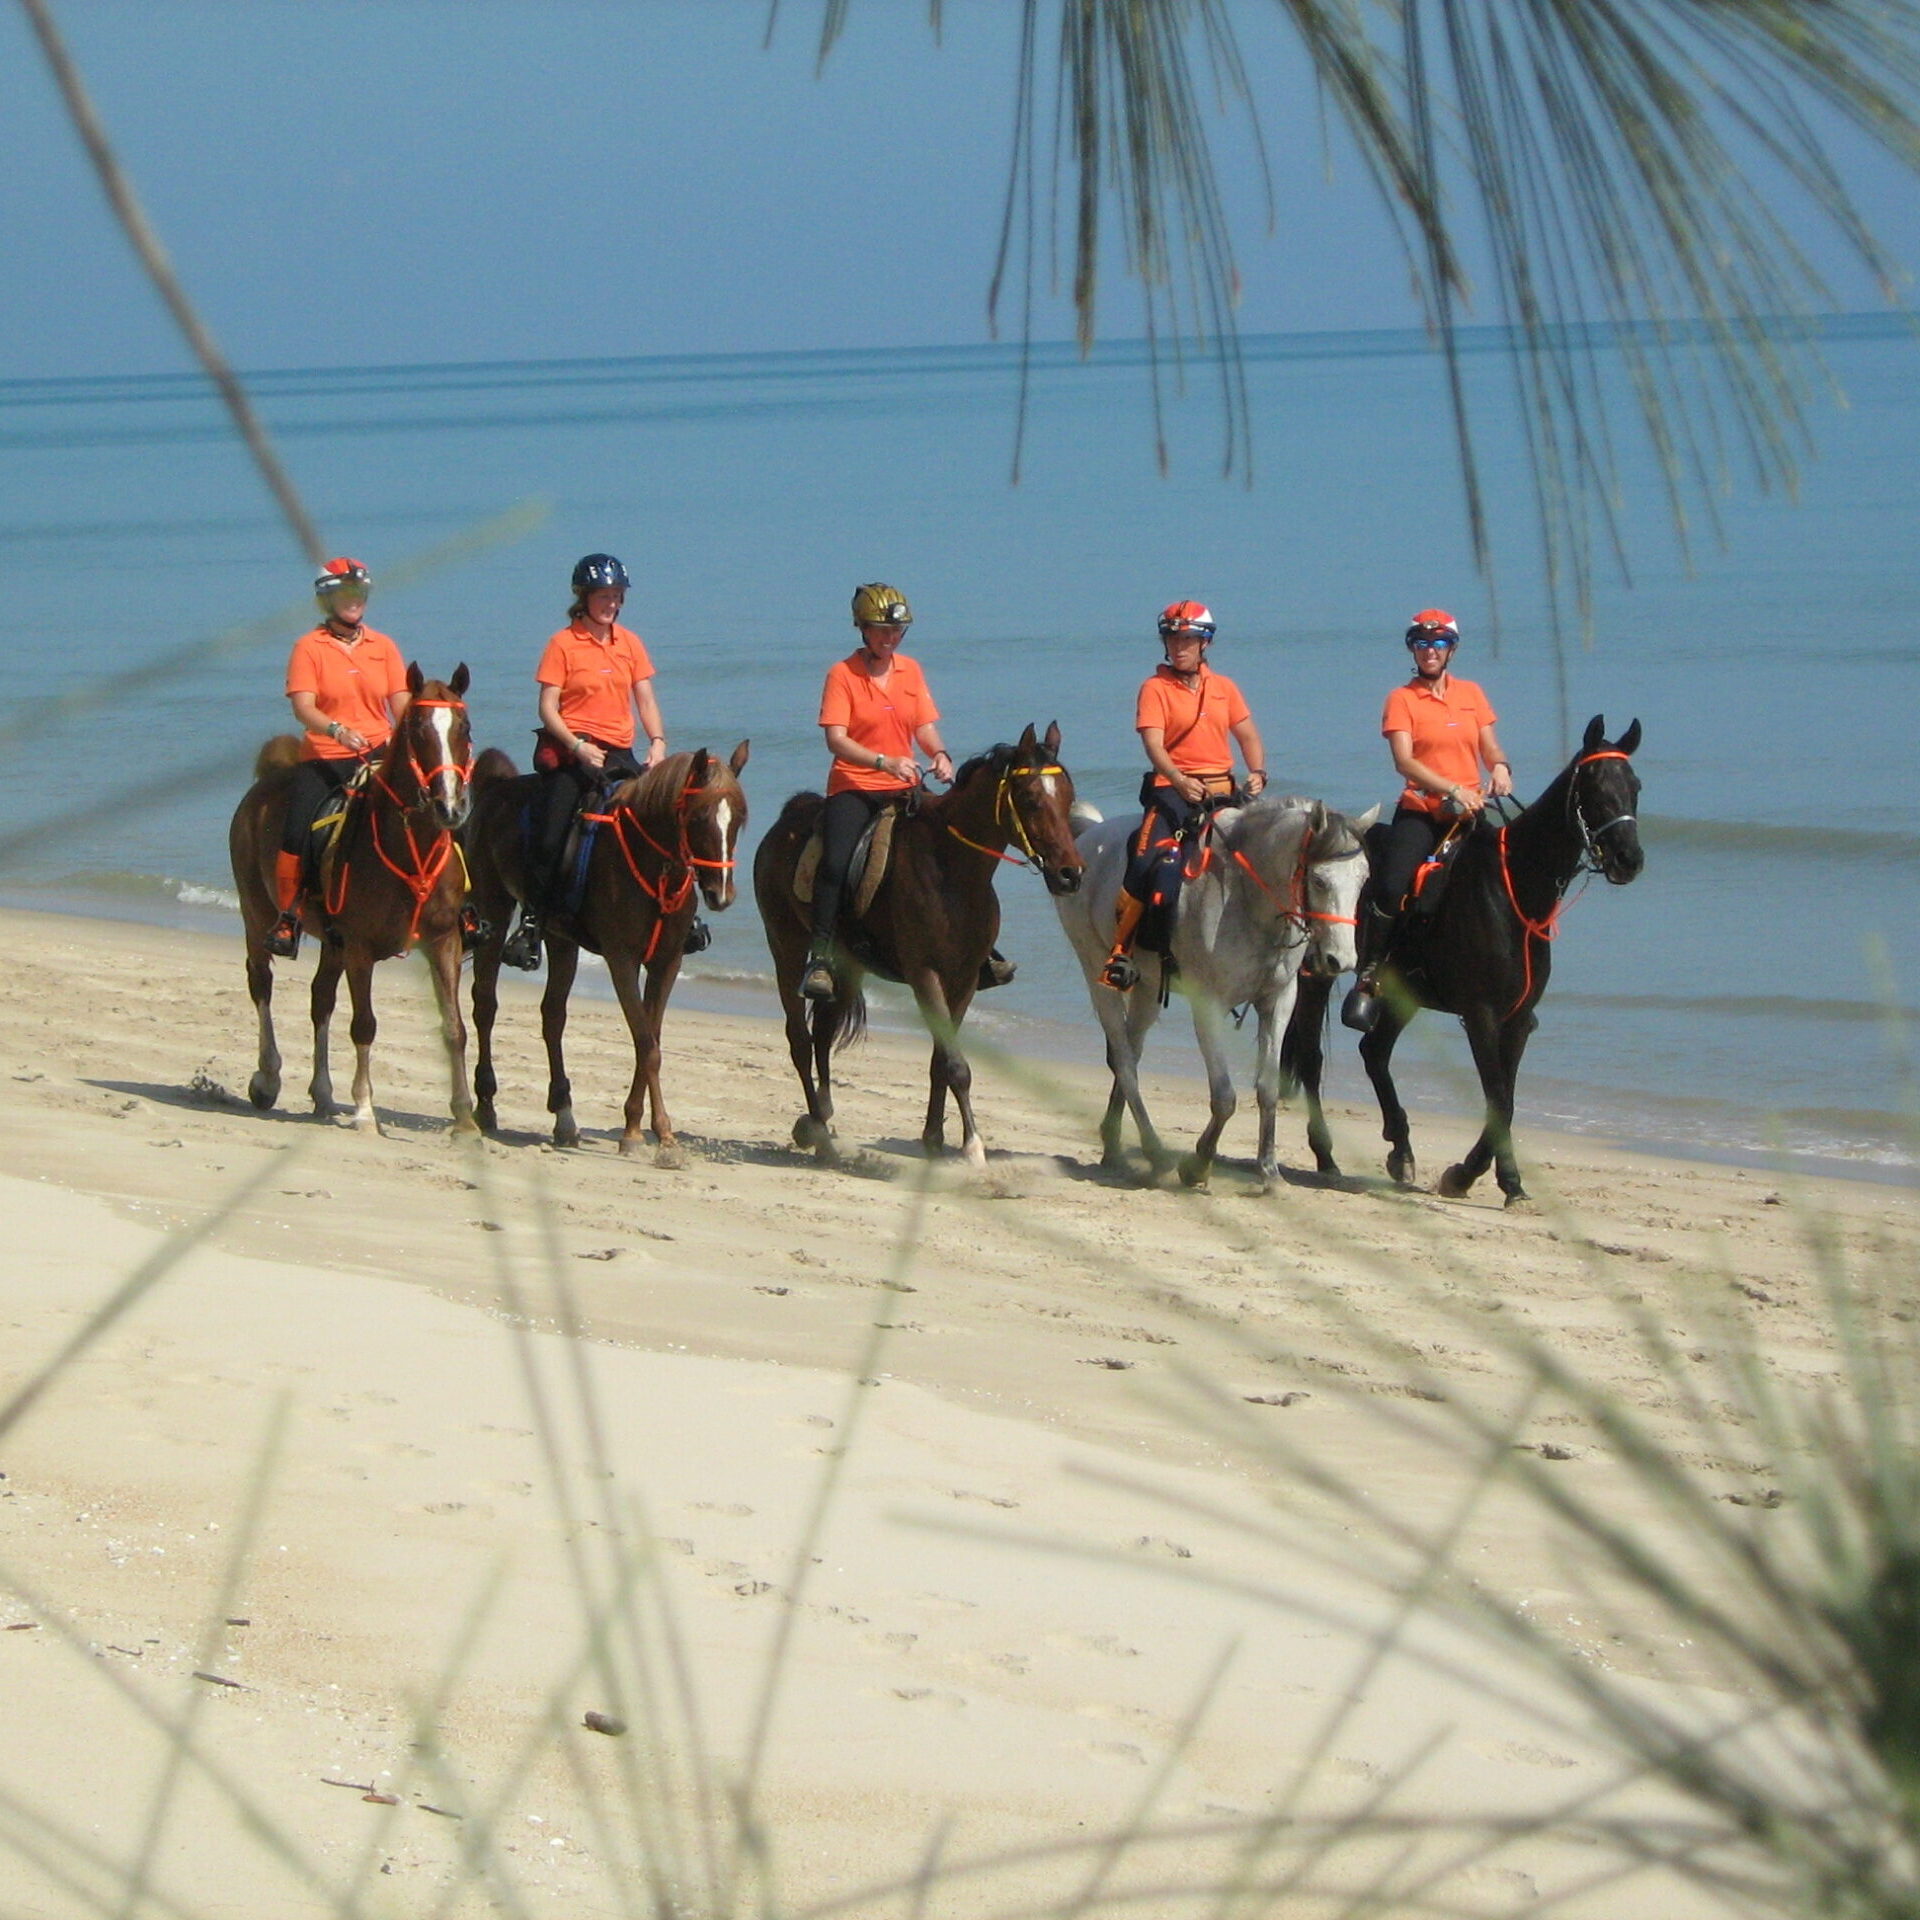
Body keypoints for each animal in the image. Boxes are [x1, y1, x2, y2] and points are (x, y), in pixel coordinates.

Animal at [229, 664, 480, 1128]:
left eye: (464, 727)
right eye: (418, 728)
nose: (450, 808)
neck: (409, 846)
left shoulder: (444, 942)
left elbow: (454, 1028)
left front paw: (464, 1119)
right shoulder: (361, 949)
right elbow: (364, 1024)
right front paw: (364, 1109)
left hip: (333, 943)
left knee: (320, 1000)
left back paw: (323, 1094)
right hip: (256, 916)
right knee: (261, 983)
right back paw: (267, 1078)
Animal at [460, 737, 744, 1159]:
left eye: (739, 818)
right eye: (698, 817)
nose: (720, 894)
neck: (654, 865)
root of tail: (496, 787)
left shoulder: (667, 962)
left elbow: (650, 1041)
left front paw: (642, 1129)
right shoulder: (621, 960)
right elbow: (646, 1044)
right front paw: (655, 1136)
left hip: (561, 938)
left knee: (553, 1016)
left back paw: (564, 1116)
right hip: (493, 910)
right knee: (485, 1006)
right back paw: (486, 1104)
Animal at [748, 721, 1082, 1159]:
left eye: (1069, 797)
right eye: (1029, 799)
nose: (1070, 875)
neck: (953, 868)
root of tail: (786, 820)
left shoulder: (964, 980)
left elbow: (943, 1060)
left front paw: (934, 1138)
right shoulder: (925, 975)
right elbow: (956, 1064)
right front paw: (973, 1146)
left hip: (849, 963)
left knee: (822, 1031)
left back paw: (823, 1117)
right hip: (785, 944)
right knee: (800, 1039)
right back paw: (817, 1130)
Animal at [1052, 791, 1382, 1182]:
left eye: (1363, 880)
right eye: (1318, 881)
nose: (1340, 960)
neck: (1248, 899)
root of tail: (1091, 834)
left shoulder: (1279, 1001)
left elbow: (1268, 1088)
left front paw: (1269, 1171)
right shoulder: (1208, 1004)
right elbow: (1224, 1097)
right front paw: (1198, 1164)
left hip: (1147, 989)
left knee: (1130, 1052)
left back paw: (1114, 1145)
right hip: (1096, 970)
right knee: (1124, 1062)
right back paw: (1155, 1152)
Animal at [1282, 714, 1643, 1205]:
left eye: (1635, 786)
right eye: (1595, 785)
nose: (1630, 859)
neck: (1514, 892)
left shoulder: (1517, 1019)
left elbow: (1505, 1101)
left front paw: (1498, 1179)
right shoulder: (1481, 1015)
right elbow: (1498, 1098)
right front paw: (1468, 1175)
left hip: (1403, 995)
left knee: (1373, 1052)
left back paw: (1401, 1151)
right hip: (1317, 976)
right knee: (1312, 1058)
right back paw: (1327, 1158)